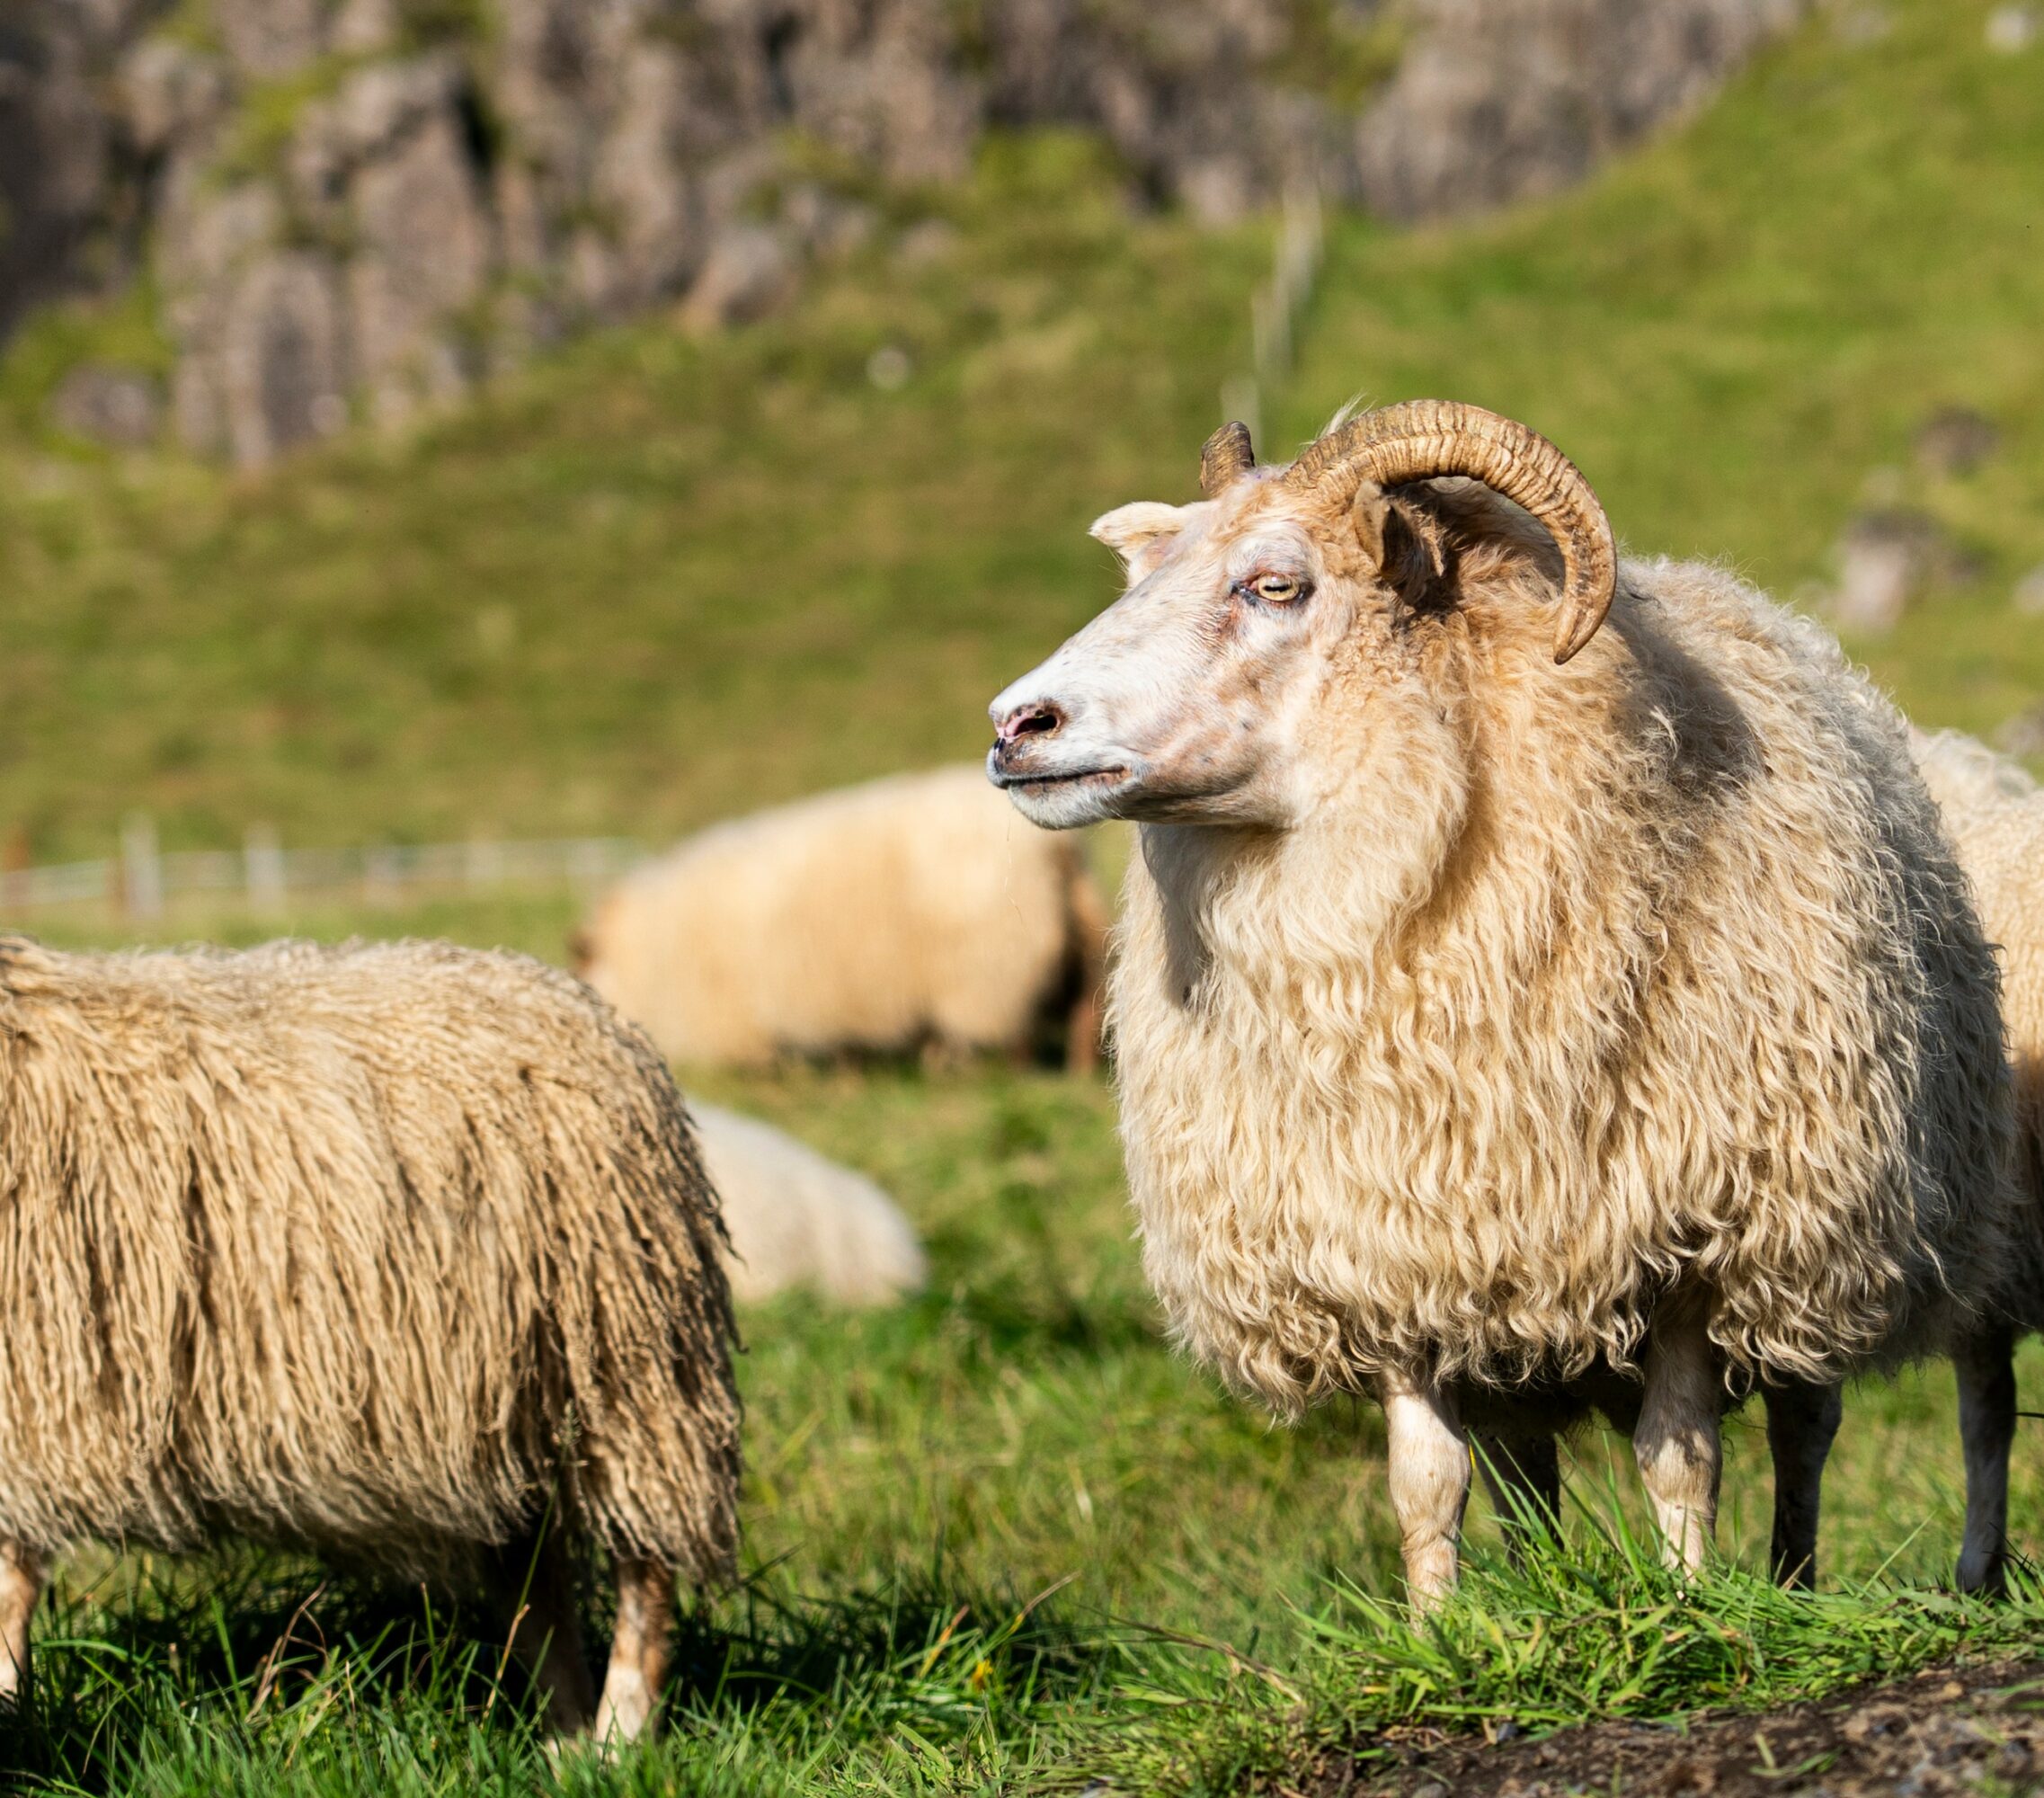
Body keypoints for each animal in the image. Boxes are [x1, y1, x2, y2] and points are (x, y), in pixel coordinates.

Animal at [0, 934, 741, 1740]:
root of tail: (586, 1008)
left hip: (628, 1373)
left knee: (645, 1571)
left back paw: (617, 1740)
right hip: (510, 1416)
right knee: (538, 1588)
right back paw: (561, 1739)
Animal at [572, 766, 1107, 1070]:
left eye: (581, 970)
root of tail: (1058, 851)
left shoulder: (734, 1025)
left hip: (992, 966)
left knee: (1013, 1031)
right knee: (1082, 1008)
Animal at [987, 399, 2027, 1605]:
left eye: (1277, 584)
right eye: (1148, 569)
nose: (1016, 724)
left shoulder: (1690, 1234)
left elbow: (1681, 1459)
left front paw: (1689, 1607)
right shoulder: (1387, 1247)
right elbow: (1425, 1483)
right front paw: (1438, 1630)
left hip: (1818, 1228)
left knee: (1804, 1426)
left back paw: (1794, 1581)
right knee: (1527, 1466)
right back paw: (1540, 1585)